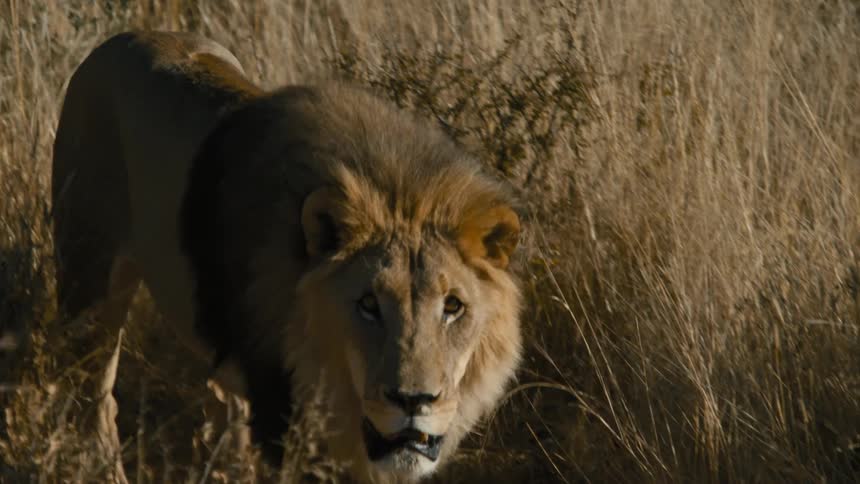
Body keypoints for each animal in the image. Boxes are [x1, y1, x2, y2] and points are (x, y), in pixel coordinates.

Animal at [52, 31, 523, 483]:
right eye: (368, 304)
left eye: (453, 307)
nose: (413, 400)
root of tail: (118, 40)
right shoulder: (282, 418)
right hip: (88, 289)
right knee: (96, 401)